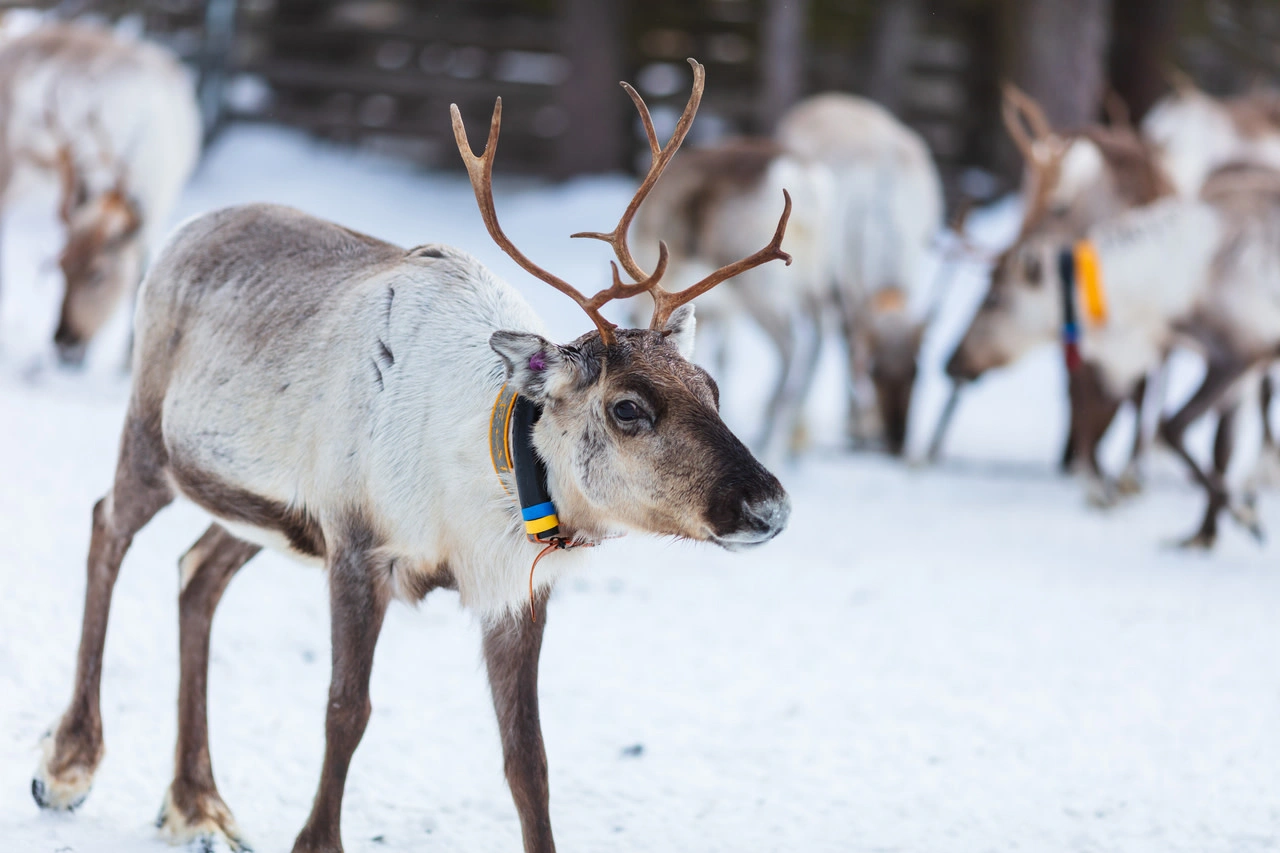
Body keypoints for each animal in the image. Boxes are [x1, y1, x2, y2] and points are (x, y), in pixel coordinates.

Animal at [0, 21, 201, 364]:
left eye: (98, 274)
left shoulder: (156, 211)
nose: (65, 344)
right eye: (62, 267)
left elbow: (141, 276)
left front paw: (126, 357)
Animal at [30, 59, 792, 853]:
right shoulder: (358, 546)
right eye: (628, 407)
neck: (478, 486)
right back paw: (69, 765)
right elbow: (346, 710)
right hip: (151, 440)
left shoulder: (514, 591)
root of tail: (186, 227)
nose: (769, 504)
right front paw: (315, 840)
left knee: (196, 574)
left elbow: (528, 759)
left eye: (711, 387)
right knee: (107, 527)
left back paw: (196, 802)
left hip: (267, 515)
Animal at [947, 159, 1280, 546]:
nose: (950, 362)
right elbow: (1219, 448)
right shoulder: (1241, 365)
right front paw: (1205, 534)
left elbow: (1170, 429)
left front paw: (1243, 516)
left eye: (994, 298)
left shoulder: (1239, 354)